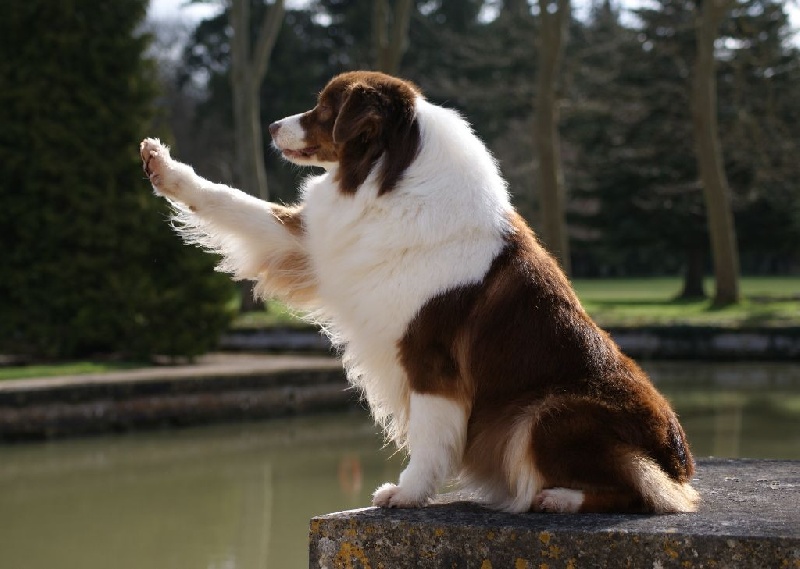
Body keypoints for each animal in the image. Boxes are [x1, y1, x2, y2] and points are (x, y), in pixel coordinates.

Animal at [141, 71, 696, 516]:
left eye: (325, 107)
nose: (273, 126)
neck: (390, 176)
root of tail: (679, 457)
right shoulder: (312, 245)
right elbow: (233, 203)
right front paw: (164, 167)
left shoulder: (429, 356)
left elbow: (429, 437)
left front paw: (407, 494)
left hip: (549, 410)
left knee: (653, 493)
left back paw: (560, 497)